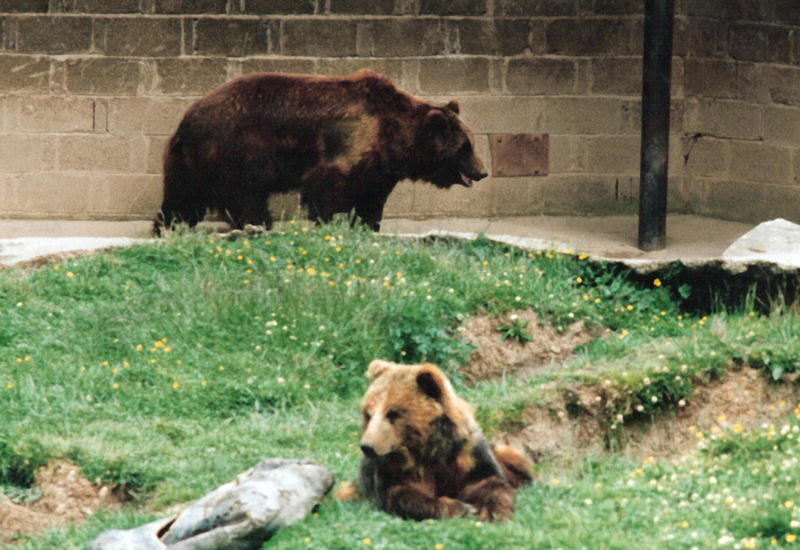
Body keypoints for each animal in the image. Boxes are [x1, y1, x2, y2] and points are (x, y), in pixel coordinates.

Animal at [153, 70, 487, 235]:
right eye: (464, 148)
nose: (482, 171)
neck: (394, 138)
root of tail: (185, 120)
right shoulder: (344, 148)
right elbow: (326, 192)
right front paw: (327, 225)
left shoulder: (378, 169)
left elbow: (371, 200)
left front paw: (368, 227)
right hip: (235, 152)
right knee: (244, 197)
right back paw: (260, 226)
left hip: (191, 164)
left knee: (181, 200)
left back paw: (165, 228)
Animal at [335, 359, 532, 521]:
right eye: (368, 414)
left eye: (392, 413)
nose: (367, 447)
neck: (430, 447)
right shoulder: (395, 468)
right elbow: (401, 494)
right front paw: (461, 508)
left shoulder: (466, 453)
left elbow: (488, 482)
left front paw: (491, 513)